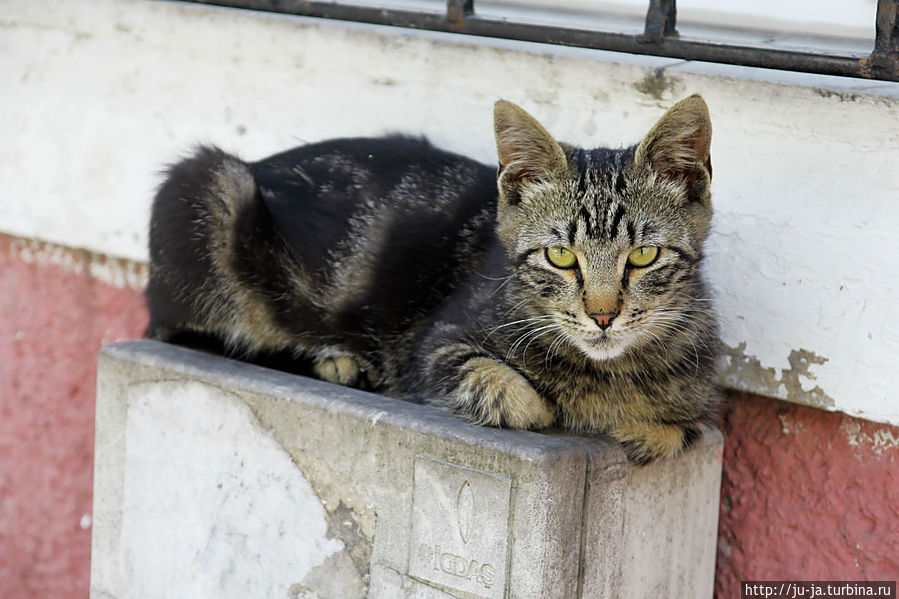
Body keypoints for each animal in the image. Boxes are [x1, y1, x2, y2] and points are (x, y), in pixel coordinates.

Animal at [149, 97, 724, 464]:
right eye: (560, 256)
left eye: (644, 254)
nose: (603, 315)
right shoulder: (433, 349)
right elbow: (517, 396)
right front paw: (561, 406)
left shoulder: (701, 402)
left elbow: (683, 427)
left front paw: (642, 426)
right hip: (210, 186)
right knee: (196, 336)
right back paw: (337, 362)